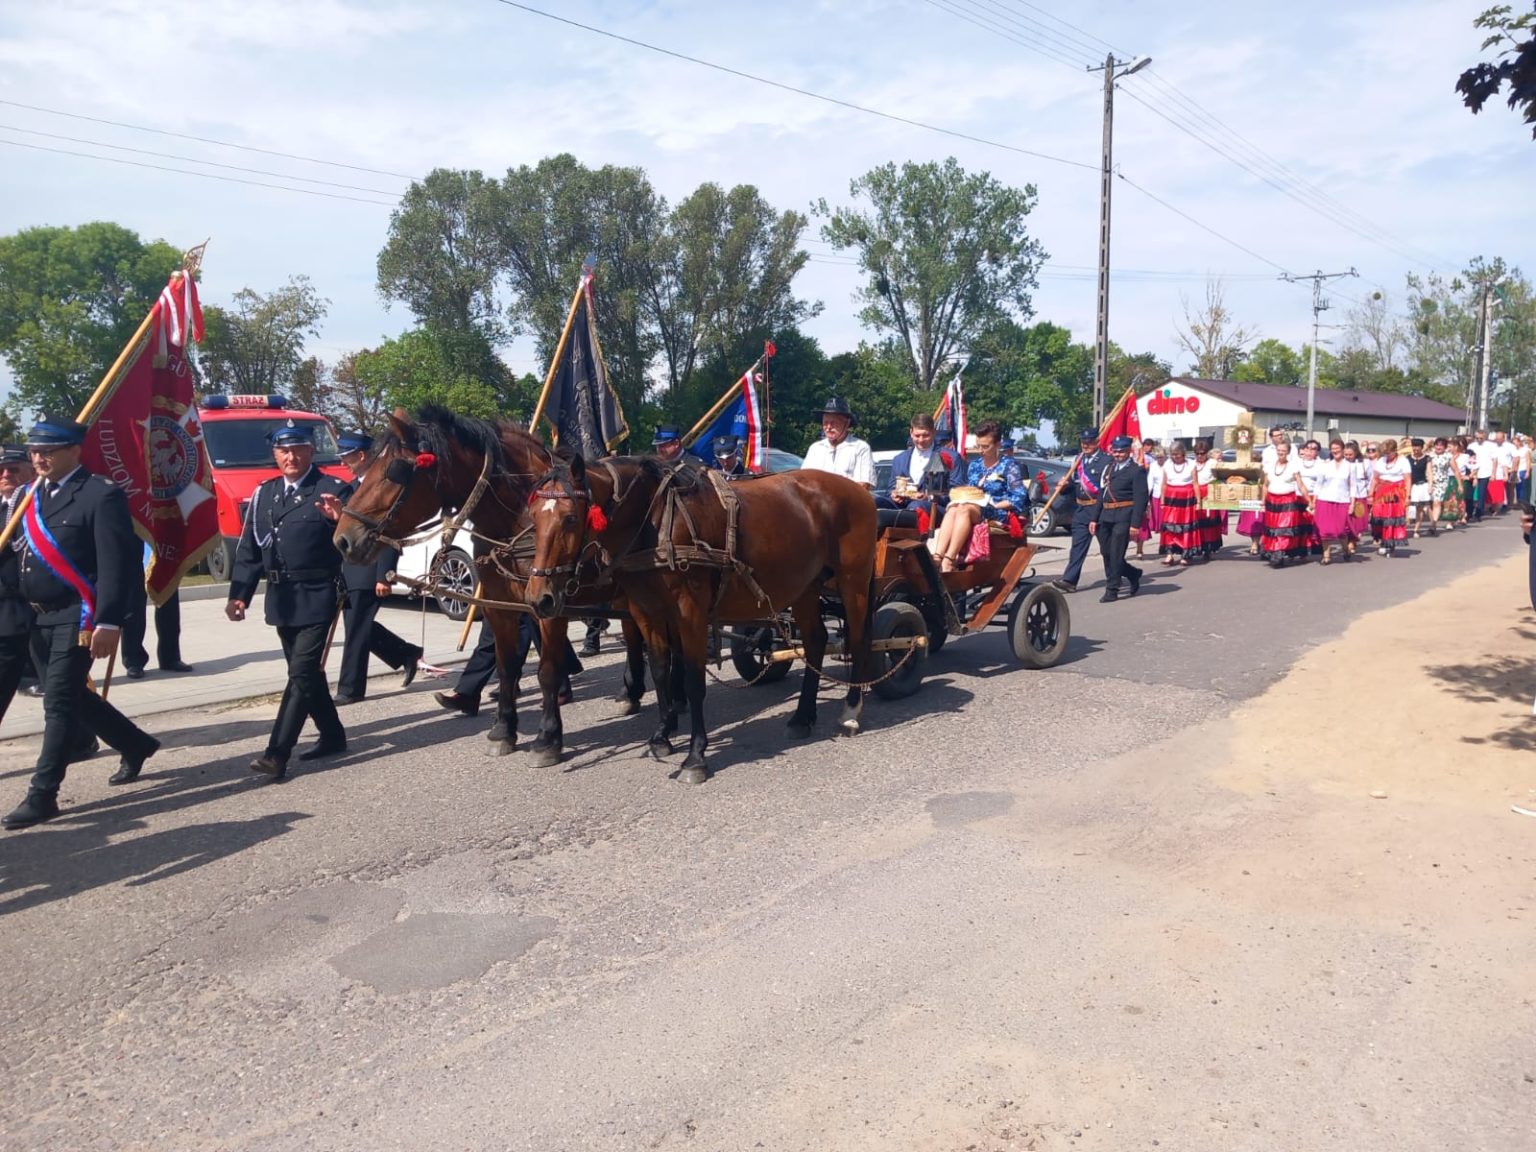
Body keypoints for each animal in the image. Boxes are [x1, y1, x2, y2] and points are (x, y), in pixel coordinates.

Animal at [333, 405, 657, 768]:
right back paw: (630, 693)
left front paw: (547, 738)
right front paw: (503, 730)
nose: (343, 539)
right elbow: (505, 667)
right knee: (633, 634)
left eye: (394, 472)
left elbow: (547, 670)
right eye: (370, 466)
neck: (519, 520)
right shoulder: (499, 606)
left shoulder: (550, 606)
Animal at [522, 451, 878, 786]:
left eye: (570, 518)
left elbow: (693, 681)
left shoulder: (690, 612)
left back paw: (850, 710)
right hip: (805, 586)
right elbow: (661, 672)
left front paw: (695, 756)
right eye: (533, 517)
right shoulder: (648, 612)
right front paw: (661, 737)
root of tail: (859, 491)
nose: (540, 597)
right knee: (816, 641)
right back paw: (803, 717)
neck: (656, 522)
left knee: (860, 640)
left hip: (853, 582)